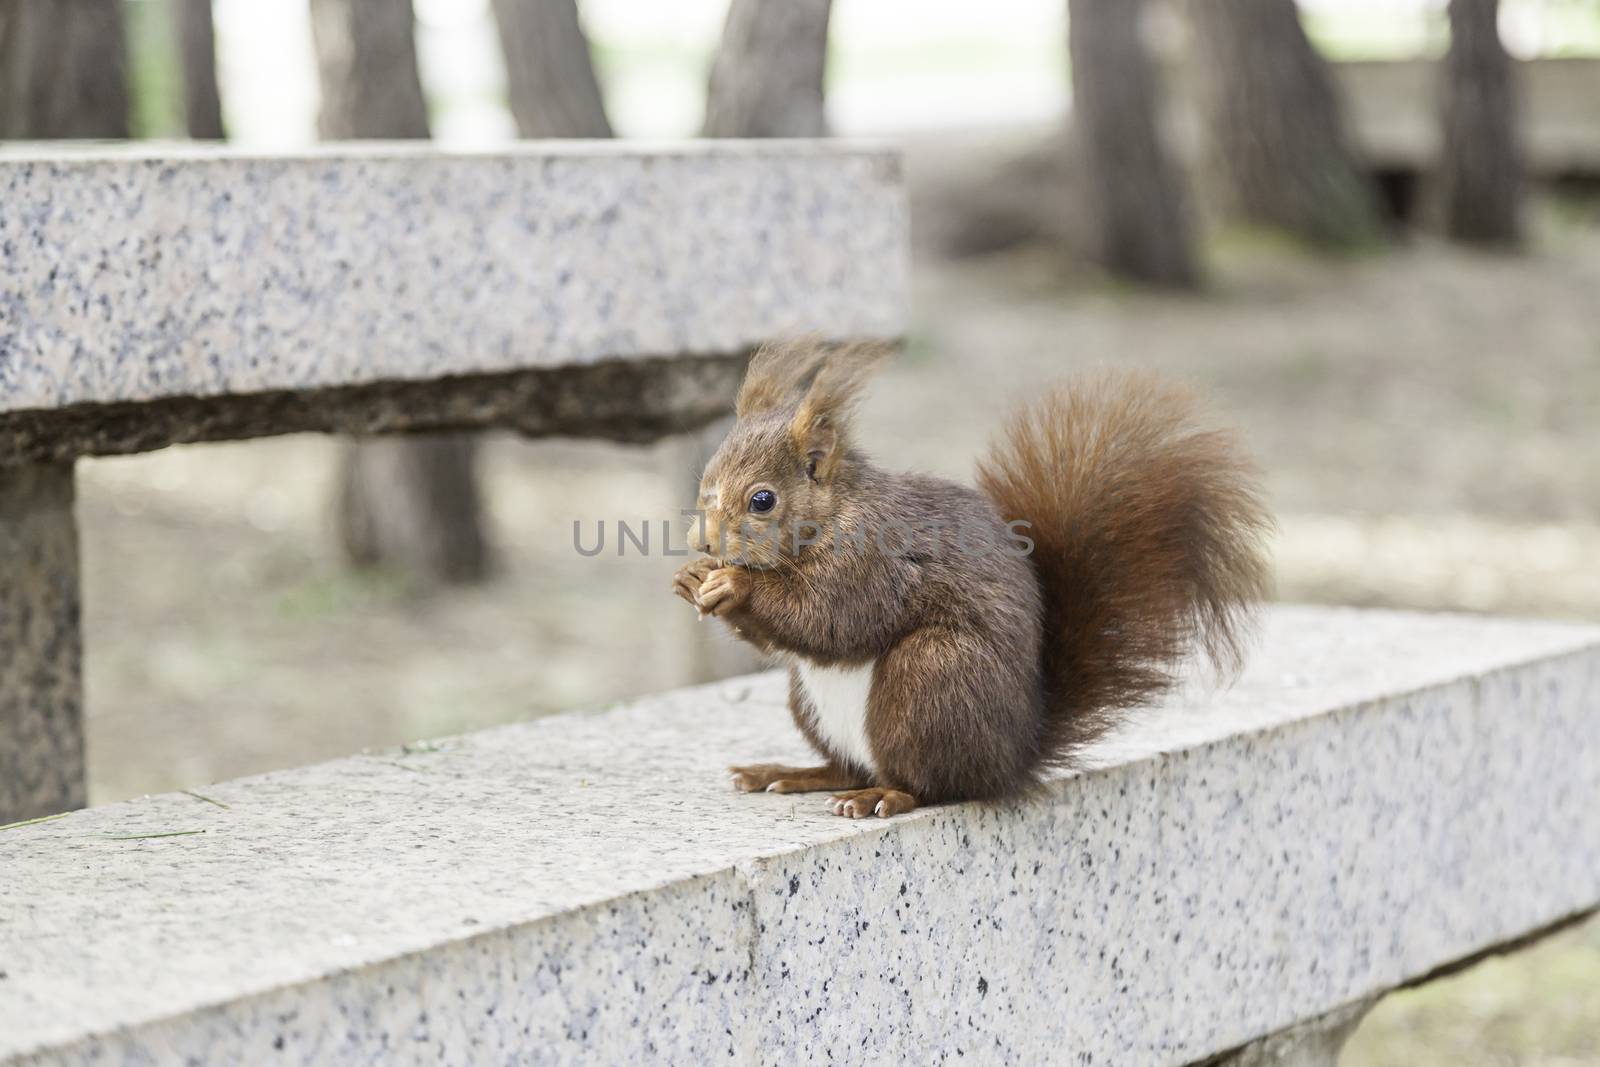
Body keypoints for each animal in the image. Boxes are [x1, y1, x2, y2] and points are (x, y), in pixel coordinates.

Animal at [668, 340, 1267, 819]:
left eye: (762, 500)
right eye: (706, 480)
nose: (703, 541)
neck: (835, 512)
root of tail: (1013, 757)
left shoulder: (875, 563)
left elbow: (829, 619)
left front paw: (735, 586)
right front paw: (692, 577)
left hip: (931, 677)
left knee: (932, 785)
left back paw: (882, 797)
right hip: (810, 699)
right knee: (850, 767)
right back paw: (790, 773)